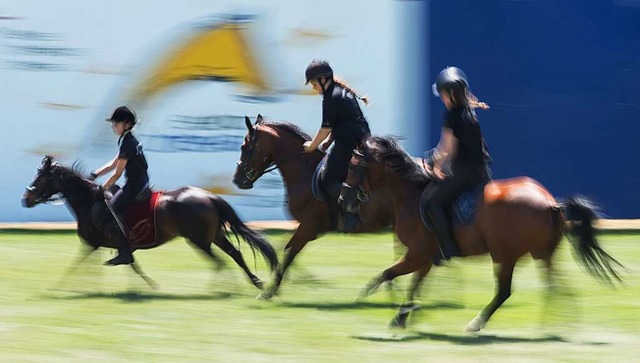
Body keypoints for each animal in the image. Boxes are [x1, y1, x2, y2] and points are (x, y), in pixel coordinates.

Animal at [23, 155, 278, 292]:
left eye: (40, 177)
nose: (25, 199)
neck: (88, 202)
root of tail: (209, 196)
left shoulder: (99, 244)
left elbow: (113, 262)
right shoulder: (95, 245)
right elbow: (122, 265)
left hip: (198, 240)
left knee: (219, 262)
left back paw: (225, 288)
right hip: (214, 235)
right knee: (234, 254)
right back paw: (254, 283)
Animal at [232, 116, 438, 302]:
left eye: (244, 147)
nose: (237, 180)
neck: (303, 170)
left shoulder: (308, 227)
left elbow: (289, 253)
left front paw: (269, 291)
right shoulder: (307, 228)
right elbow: (283, 248)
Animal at [340, 136, 624, 330]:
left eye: (352, 166)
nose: (343, 199)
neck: (410, 194)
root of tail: (552, 203)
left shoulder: (417, 254)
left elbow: (389, 274)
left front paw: (374, 298)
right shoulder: (425, 257)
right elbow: (414, 284)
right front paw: (404, 314)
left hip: (504, 255)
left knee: (506, 291)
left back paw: (477, 323)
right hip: (539, 254)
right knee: (555, 285)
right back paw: (558, 323)